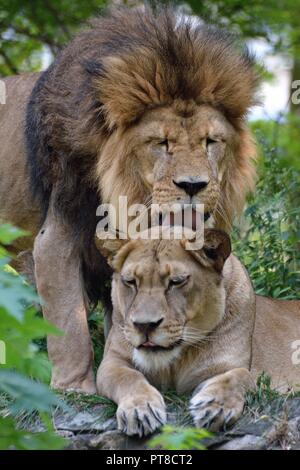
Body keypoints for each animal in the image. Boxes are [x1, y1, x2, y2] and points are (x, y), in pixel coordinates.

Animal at [0, 6, 258, 392]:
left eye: (211, 142)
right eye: (161, 143)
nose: (193, 185)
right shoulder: (58, 234)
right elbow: (68, 324)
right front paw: (76, 388)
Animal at [96, 231, 300, 436]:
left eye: (176, 282)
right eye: (130, 282)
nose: (144, 325)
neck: (174, 362)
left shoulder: (227, 366)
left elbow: (238, 377)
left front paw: (215, 407)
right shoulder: (112, 361)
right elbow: (128, 377)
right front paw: (140, 410)